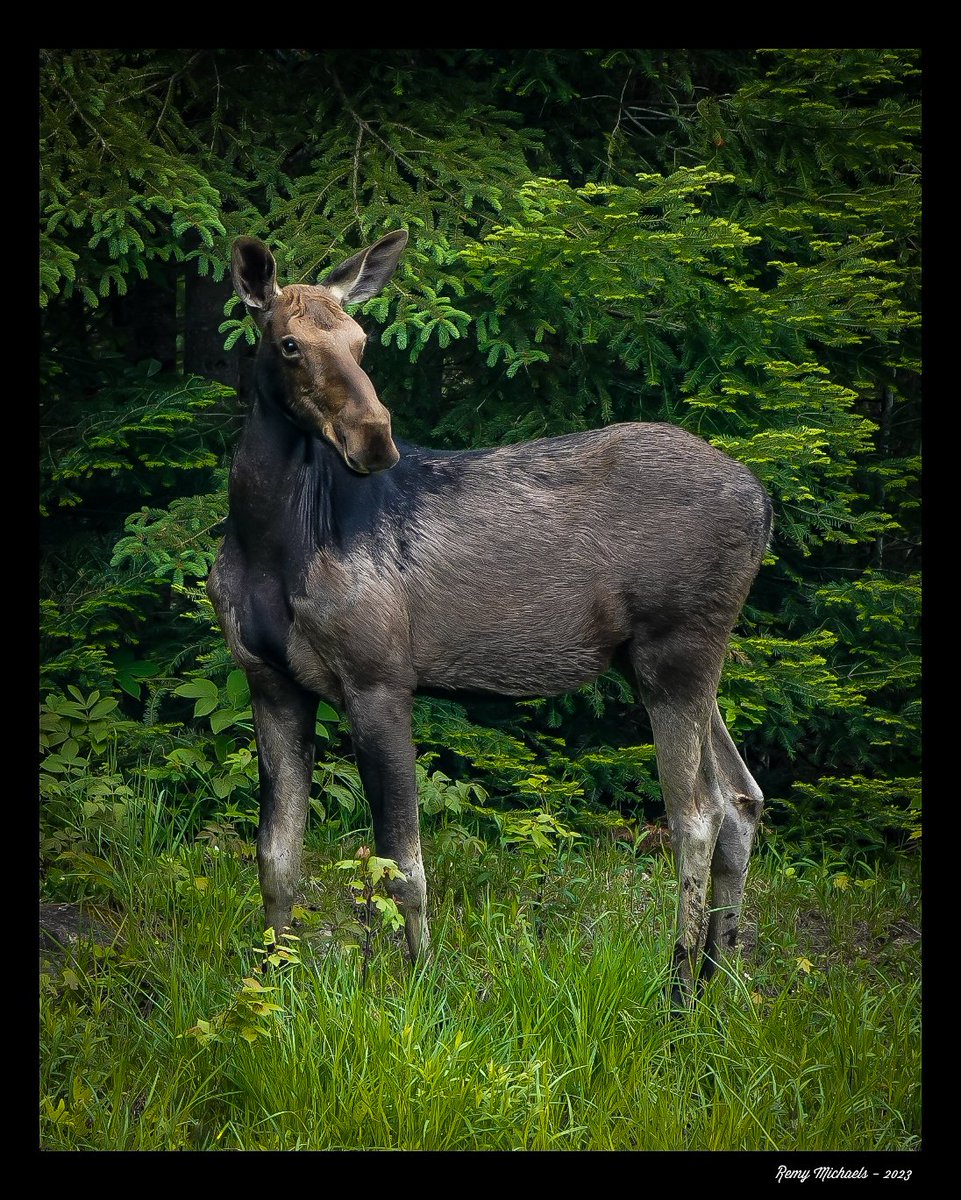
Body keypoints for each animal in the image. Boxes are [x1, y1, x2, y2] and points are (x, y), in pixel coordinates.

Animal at [209, 229, 772, 998]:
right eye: (290, 344)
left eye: (361, 341)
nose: (374, 438)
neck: (267, 537)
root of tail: (764, 504)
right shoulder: (269, 681)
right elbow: (277, 856)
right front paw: (270, 984)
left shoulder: (379, 677)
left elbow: (403, 866)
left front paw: (416, 985)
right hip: (660, 658)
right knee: (743, 798)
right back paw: (721, 973)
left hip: (677, 647)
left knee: (696, 814)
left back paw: (680, 985)